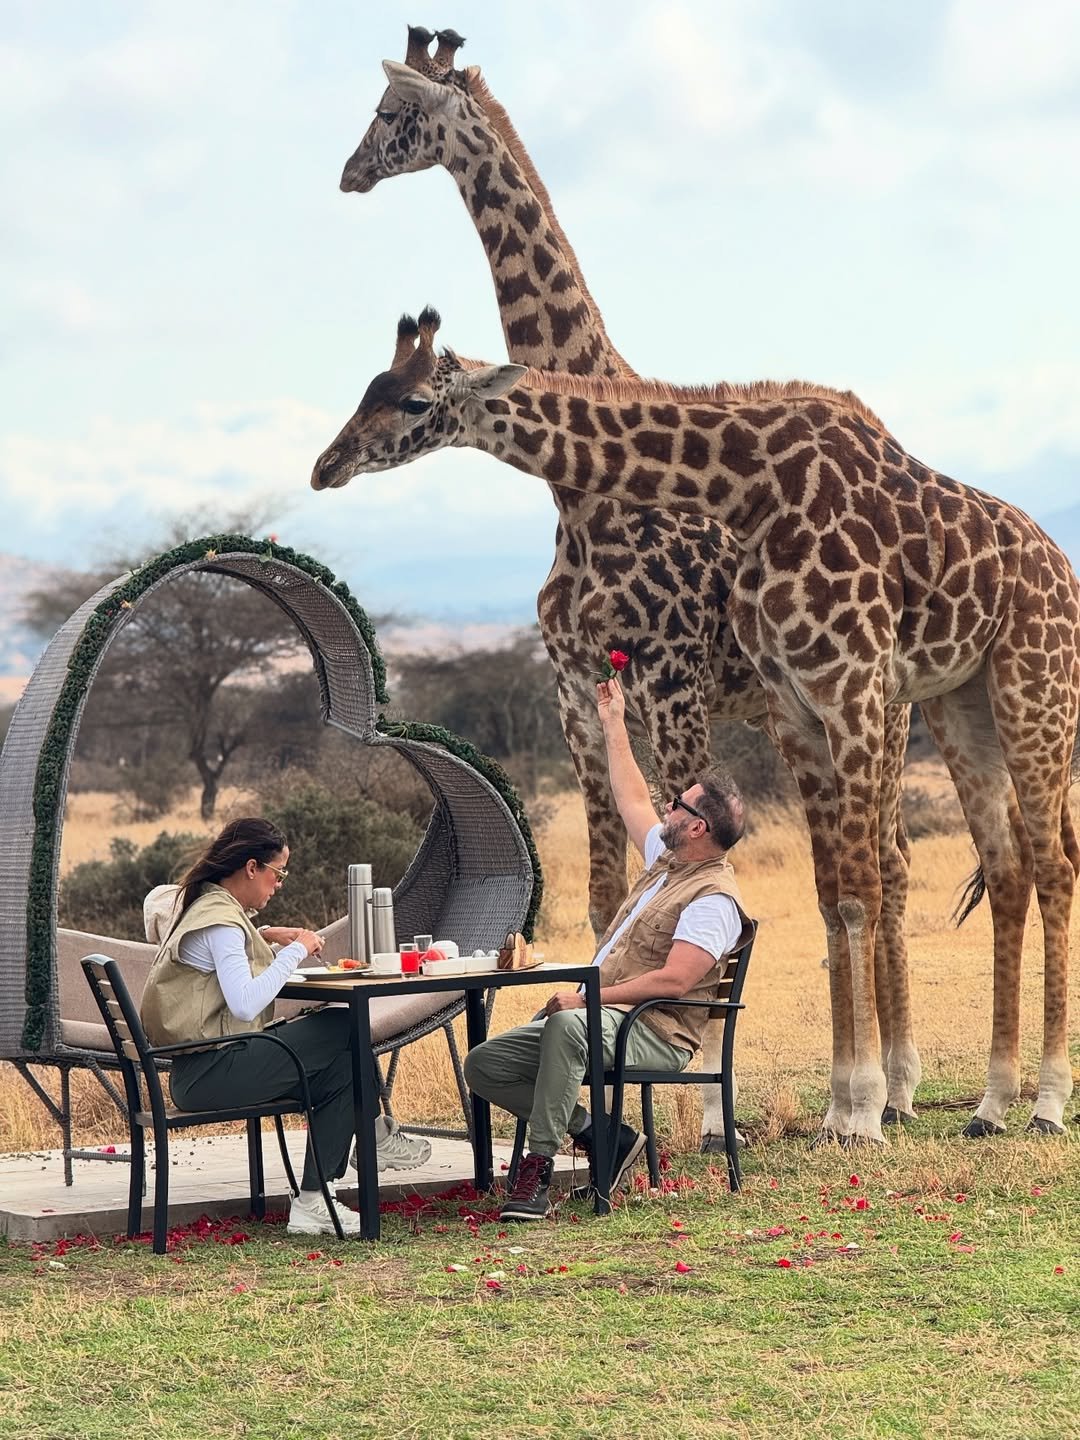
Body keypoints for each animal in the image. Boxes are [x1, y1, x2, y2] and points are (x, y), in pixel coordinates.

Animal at [310, 311, 1080, 1143]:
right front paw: (842, 1106)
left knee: (1051, 866)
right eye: (368, 388)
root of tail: (1061, 568)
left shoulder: (849, 685)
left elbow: (858, 893)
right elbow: (830, 895)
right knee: (1007, 868)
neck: (751, 489)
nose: (326, 466)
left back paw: (1043, 1103)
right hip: (961, 706)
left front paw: (864, 1114)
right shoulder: (796, 707)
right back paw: (991, 1104)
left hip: (1032, 691)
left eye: (415, 402)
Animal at [336, 31, 924, 1139]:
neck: (576, 494)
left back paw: (894, 1087)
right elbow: (611, 895)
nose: (347, 174)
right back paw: (883, 1085)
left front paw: (707, 1120)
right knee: (872, 868)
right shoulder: (576, 691)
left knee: (893, 870)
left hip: (875, 703)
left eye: (394, 115)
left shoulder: (676, 686)